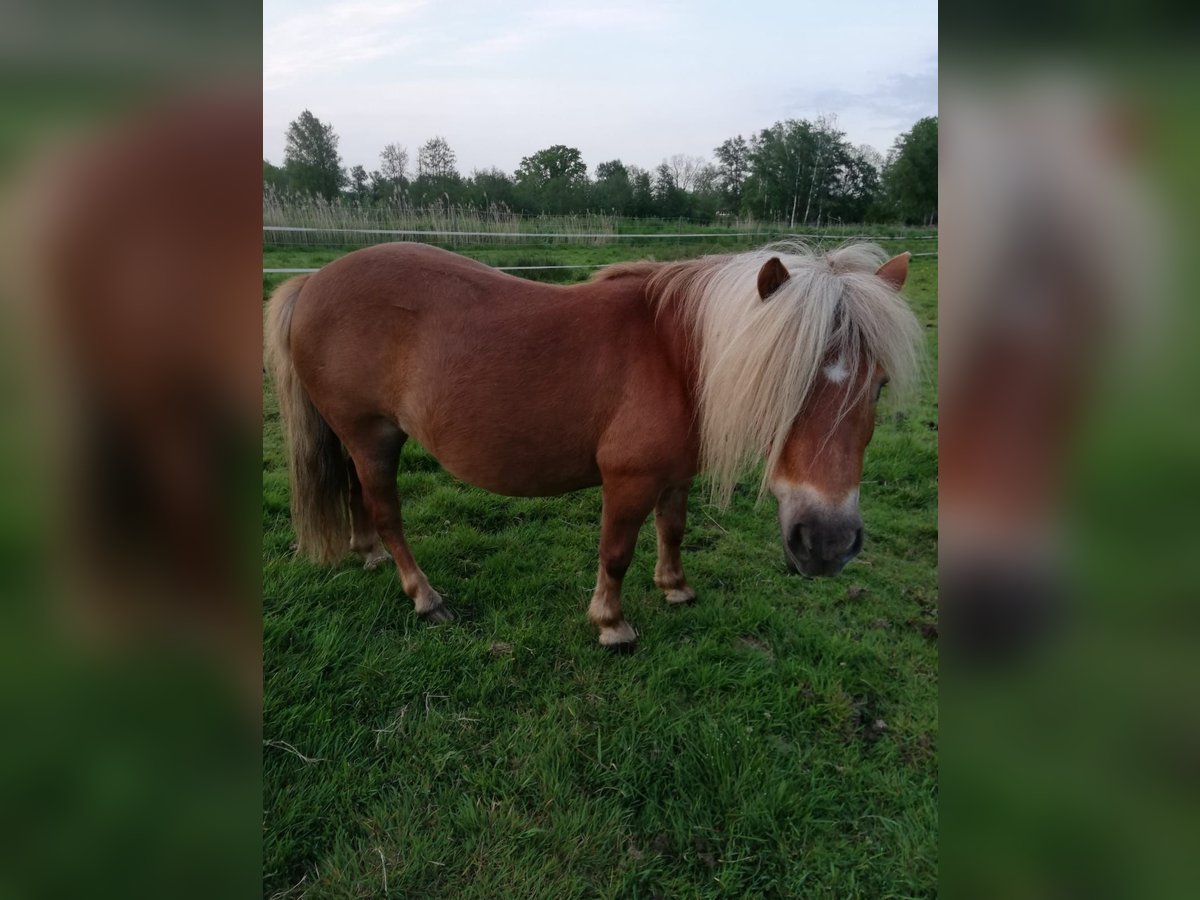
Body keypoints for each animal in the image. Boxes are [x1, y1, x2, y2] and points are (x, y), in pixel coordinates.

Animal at [267, 241, 916, 648]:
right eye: (780, 379)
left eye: (880, 383)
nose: (827, 544)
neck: (677, 356)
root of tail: (316, 280)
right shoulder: (628, 481)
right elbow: (616, 553)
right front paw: (612, 624)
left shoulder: (674, 475)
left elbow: (673, 529)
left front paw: (675, 588)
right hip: (372, 435)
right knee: (386, 510)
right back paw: (423, 595)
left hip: (361, 438)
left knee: (357, 494)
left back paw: (369, 554)